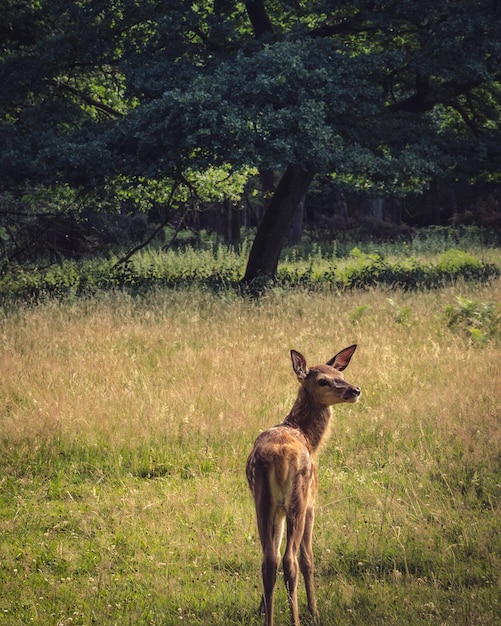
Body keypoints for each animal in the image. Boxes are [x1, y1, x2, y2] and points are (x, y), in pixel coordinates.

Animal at [245, 344, 360, 620]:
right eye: (323, 380)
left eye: (339, 373)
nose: (355, 390)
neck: (308, 437)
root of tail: (280, 456)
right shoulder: (311, 504)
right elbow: (309, 558)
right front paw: (314, 610)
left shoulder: (278, 511)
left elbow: (273, 552)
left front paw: (261, 607)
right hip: (298, 497)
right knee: (291, 560)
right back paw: (297, 617)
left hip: (263, 501)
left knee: (269, 559)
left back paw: (269, 618)